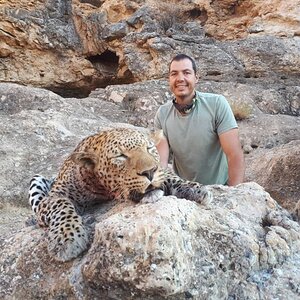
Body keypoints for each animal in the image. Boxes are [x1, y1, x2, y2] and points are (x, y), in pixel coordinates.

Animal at [27, 127, 211, 262]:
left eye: (149, 148)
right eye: (120, 156)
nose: (150, 171)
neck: (101, 188)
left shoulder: (163, 170)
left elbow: (171, 176)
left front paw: (195, 188)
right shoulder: (55, 195)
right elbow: (62, 205)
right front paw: (67, 238)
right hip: (36, 180)